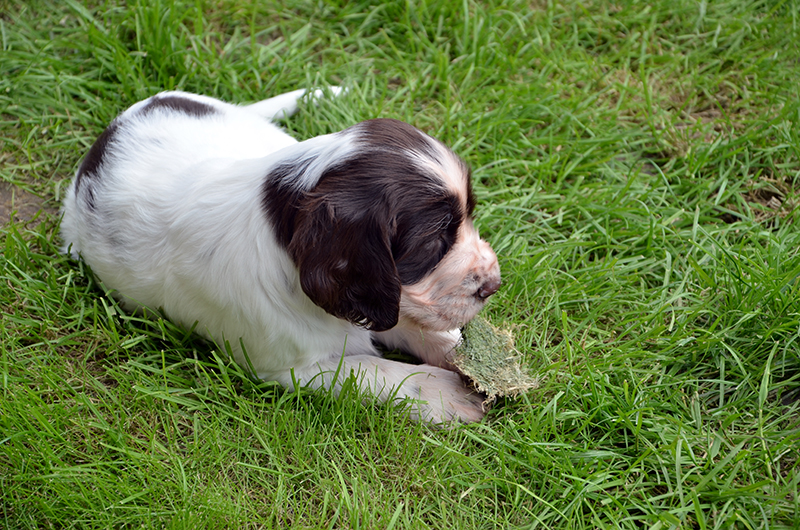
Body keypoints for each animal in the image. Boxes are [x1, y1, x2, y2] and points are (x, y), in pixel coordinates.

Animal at [62, 88, 500, 422]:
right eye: (431, 241)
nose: (493, 285)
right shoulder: (293, 366)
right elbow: (373, 369)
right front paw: (448, 393)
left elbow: (419, 325)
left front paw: (475, 360)